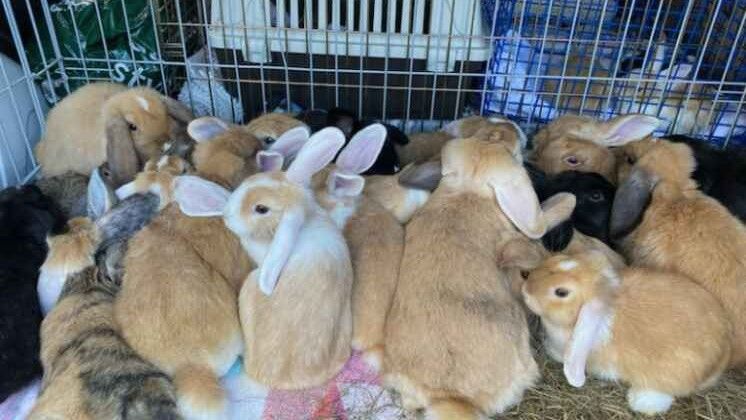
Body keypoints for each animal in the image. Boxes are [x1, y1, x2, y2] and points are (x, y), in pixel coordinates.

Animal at [384, 121, 576, 419]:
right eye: (513, 152)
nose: (510, 124)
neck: (469, 189)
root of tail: (448, 398)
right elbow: (566, 202)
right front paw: (563, 202)